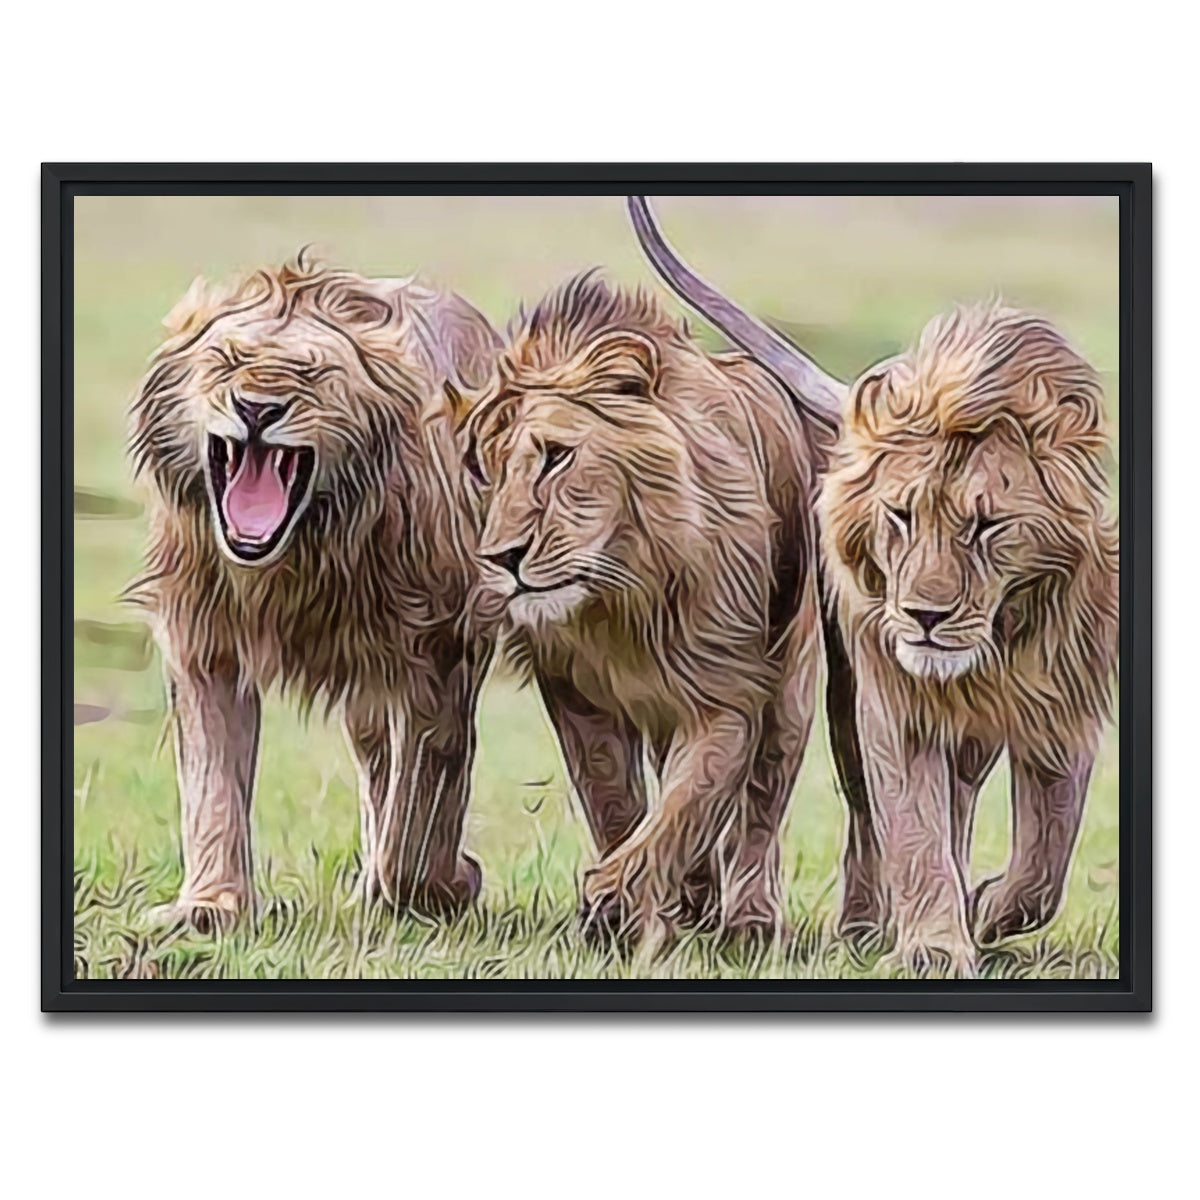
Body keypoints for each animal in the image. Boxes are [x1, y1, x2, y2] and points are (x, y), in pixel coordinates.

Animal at [127, 256, 502, 931]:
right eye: (227, 359)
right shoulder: (204, 641)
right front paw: (209, 905)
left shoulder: (440, 650)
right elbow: (211, 781)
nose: (255, 409)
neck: (297, 556)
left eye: (312, 372)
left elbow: (424, 800)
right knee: (376, 761)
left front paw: (444, 885)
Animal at [462, 272, 828, 946]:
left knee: (763, 803)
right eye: (488, 471)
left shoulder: (728, 692)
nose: (502, 558)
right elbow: (616, 802)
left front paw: (614, 898)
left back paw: (750, 920)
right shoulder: (575, 695)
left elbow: (688, 802)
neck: (623, 594)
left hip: (791, 683)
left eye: (556, 455)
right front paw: (631, 906)